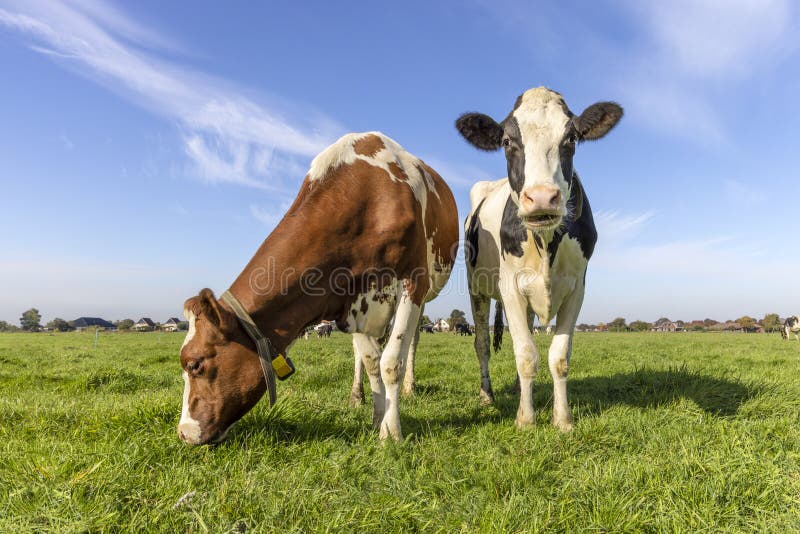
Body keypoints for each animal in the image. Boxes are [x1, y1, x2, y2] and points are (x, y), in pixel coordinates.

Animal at [178, 132, 460, 446]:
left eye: (194, 364)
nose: (184, 432)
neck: (367, 197)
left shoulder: (414, 282)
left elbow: (391, 362)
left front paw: (391, 432)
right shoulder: (348, 298)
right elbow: (371, 361)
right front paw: (378, 418)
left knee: (411, 343)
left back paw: (410, 387)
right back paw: (357, 395)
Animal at [456, 86, 624, 434]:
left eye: (571, 138)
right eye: (507, 141)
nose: (543, 198)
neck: (546, 243)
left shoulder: (576, 289)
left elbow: (558, 357)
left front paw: (563, 419)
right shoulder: (510, 290)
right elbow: (524, 355)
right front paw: (526, 419)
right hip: (476, 288)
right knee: (482, 343)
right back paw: (487, 395)